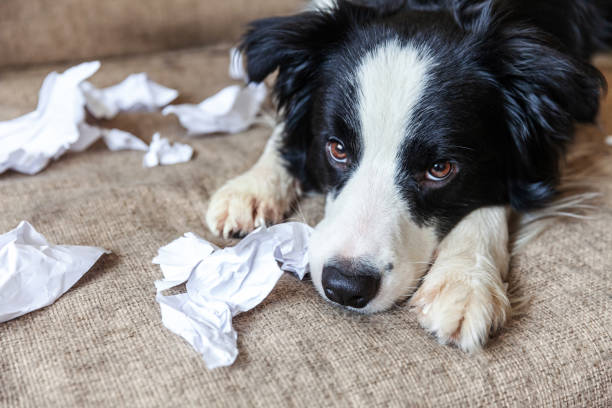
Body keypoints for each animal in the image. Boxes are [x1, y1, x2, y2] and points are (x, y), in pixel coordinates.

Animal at [206, 0, 612, 350]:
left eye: (440, 169)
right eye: (337, 149)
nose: (345, 286)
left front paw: (465, 284)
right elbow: (286, 131)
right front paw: (251, 188)